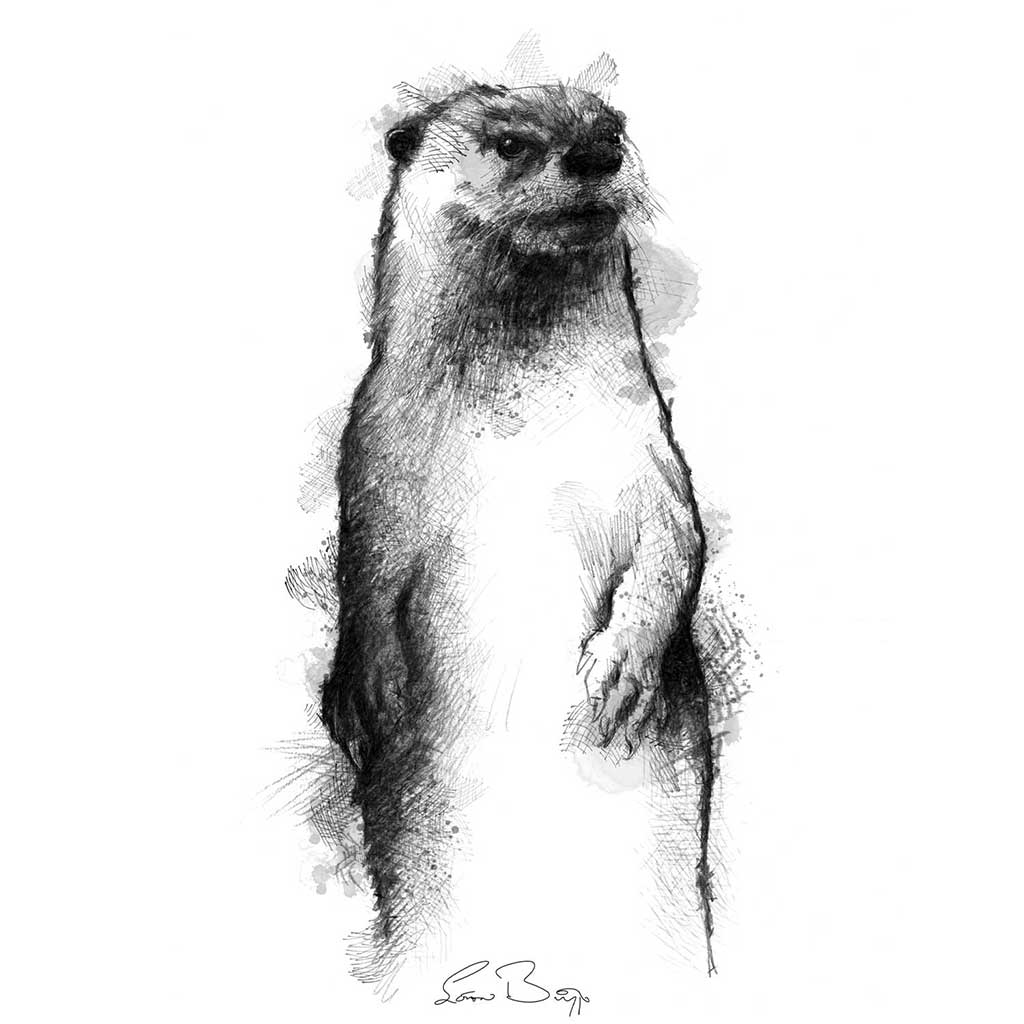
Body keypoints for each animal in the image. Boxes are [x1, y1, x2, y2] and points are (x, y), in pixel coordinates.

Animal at [321, 82, 716, 985]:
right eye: (508, 143)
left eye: (613, 129)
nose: (598, 155)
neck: (522, 434)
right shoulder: (372, 468)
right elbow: (364, 576)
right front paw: (365, 691)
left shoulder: (651, 463)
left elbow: (675, 553)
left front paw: (623, 668)